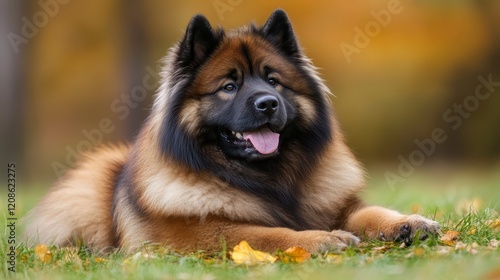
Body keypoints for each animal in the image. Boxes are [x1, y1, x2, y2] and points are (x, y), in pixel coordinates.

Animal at [23, 9, 440, 253]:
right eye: (228, 86)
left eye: (273, 81)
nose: (268, 104)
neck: (269, 180)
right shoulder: (194, 234)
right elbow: (262, 232)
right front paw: (321, 239)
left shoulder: (337, 204)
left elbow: (371, 213)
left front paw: (408, 222)